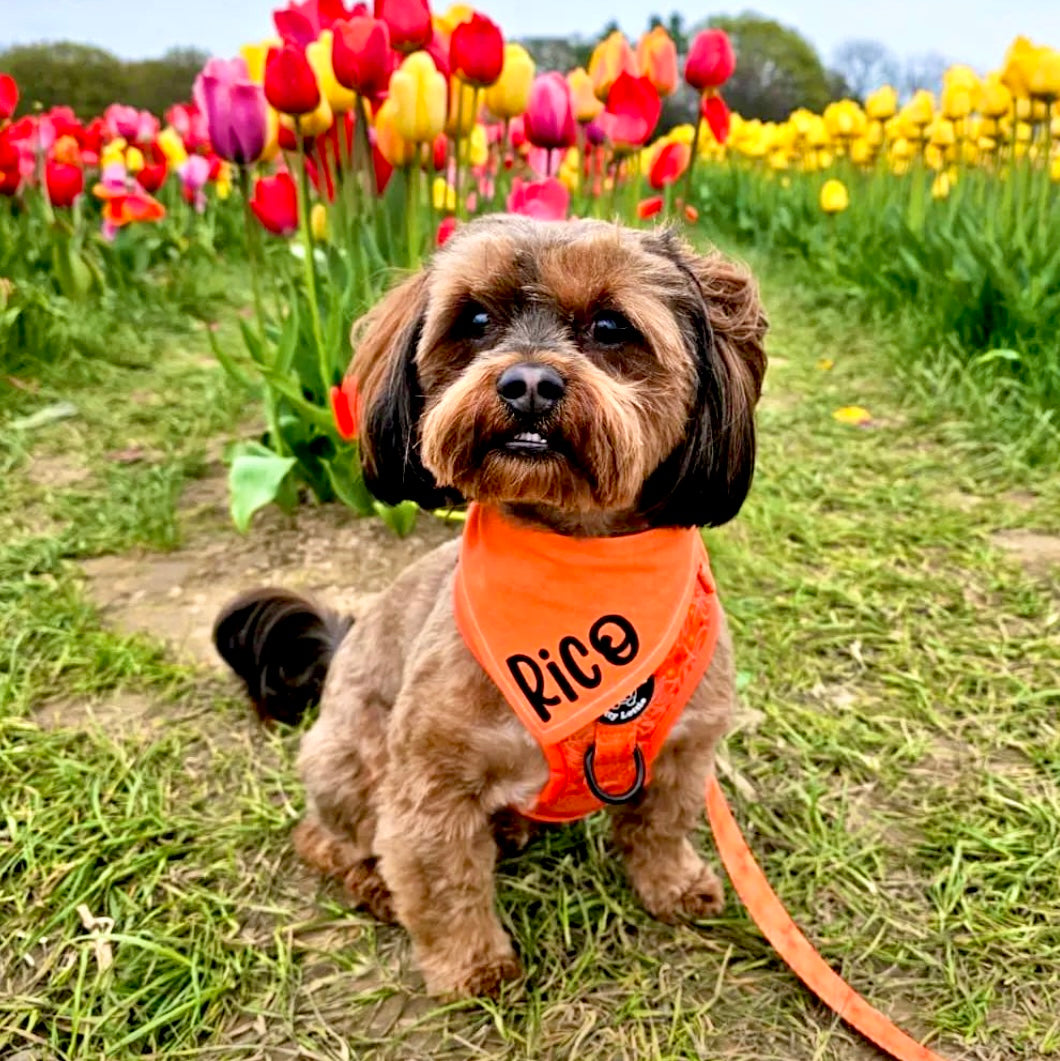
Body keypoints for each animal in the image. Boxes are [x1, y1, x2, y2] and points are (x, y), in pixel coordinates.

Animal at [215, 217, 768, 1001]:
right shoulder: (429, 784)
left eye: (611, 327)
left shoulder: (685, 747)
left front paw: (673, 883)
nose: (529, 381)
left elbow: (660, 824)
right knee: (326, 835)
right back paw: (372, 881)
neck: (580, 564)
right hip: (349, 754)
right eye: (474, 321)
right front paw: (471, 963)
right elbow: (443, 879)